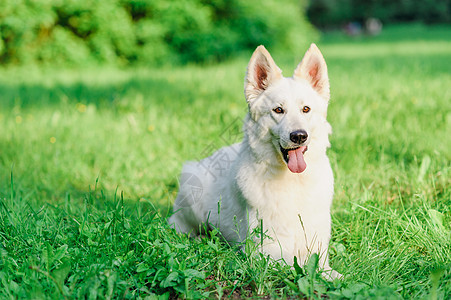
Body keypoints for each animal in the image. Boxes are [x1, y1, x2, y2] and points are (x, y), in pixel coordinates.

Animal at [170, 44, 342, 278]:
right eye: (278, 110)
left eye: (305, 109)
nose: (299, 136)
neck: (292, 182)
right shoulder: (265, 252)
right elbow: (297, 266)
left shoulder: (317, 247)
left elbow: (324, 268)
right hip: (192, 192)